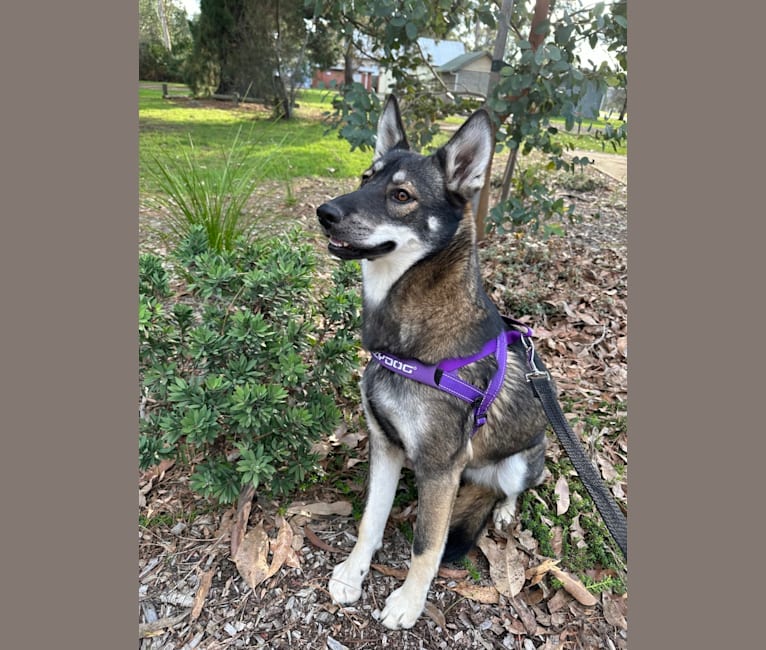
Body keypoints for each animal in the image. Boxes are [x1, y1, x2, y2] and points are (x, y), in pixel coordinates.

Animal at [316, 93, 556, 624]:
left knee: (512, 488)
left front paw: (408, 601)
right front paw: (353, 572)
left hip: (520, 460)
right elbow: (370, 520)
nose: (324, 212)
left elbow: (427, 543)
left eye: (402, 195)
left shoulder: (439, 467)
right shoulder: (386, 445)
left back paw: (504, 509)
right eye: (366, 177)